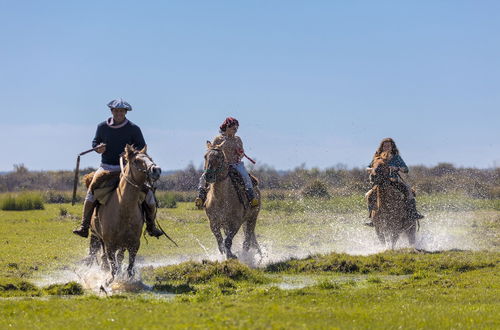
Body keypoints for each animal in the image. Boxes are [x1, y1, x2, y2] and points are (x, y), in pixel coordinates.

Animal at [89, 144, 161, 282]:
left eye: (150, 158)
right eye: (136, 160)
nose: (156, 170)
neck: (124, 209)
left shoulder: (133, 243)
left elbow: (129, 266)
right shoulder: (109, 244)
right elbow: (113, 267)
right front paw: (109, 281)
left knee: (119, 257)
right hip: (101, 238)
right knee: (105, 257)